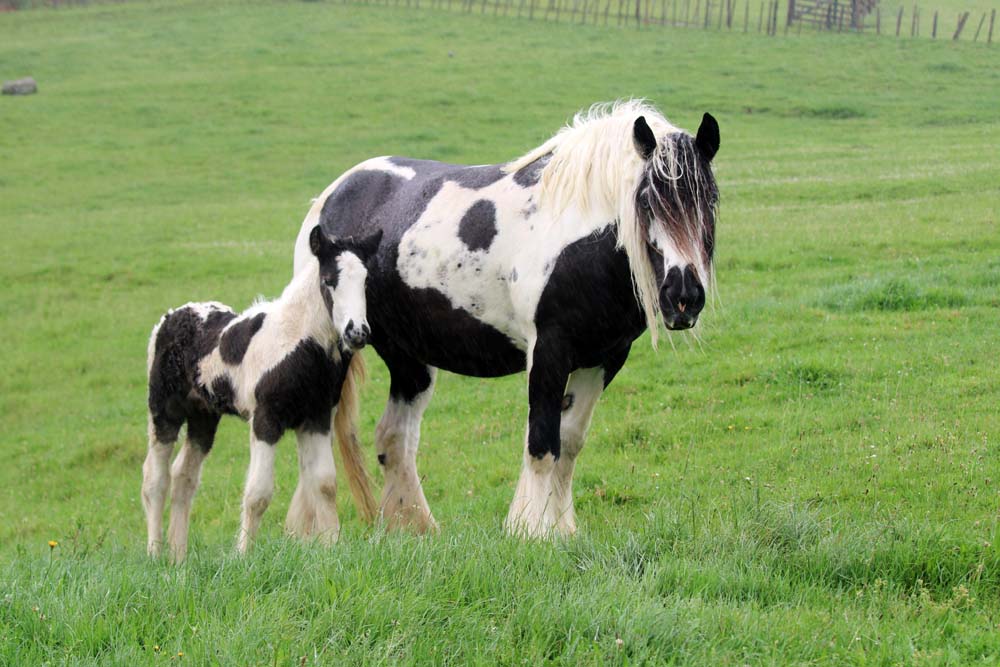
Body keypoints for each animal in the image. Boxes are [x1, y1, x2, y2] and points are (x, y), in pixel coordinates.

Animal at [145, 224, 382, 560]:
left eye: (365, 281)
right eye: (328, 281)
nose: (357, 332)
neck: (297, 341)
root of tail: (170, 317)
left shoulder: (317, 418)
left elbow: (324, 484)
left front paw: (332, 548)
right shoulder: (265, 419)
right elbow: (258, 493)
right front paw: (244, 555)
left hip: (204, 416)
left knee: (183, 477)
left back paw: (178, 557)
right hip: (164, 410)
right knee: (156, 479)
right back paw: (155, 553)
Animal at [290, 100, 720, 536]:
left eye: (711, 200)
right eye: (647, 202)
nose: (683, 297)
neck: (577, 235)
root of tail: (333, 194)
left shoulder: (604, 358)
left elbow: (570, 444)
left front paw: (563, 531)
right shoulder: (548, 351)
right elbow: (543, 446)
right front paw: (532, 532)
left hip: (408, 359)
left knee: (393, 439)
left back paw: (415, 528)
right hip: (335, 350)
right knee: (317, 449)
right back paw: (314, 534)